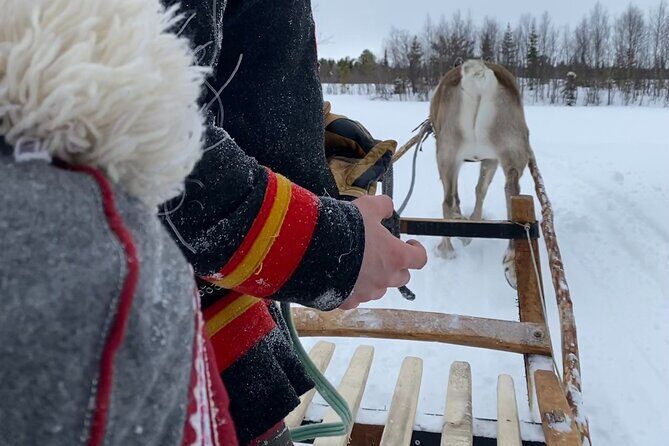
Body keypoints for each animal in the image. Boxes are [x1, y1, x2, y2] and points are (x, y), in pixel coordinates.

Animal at [429, 59, 532, 288]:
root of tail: (479, 76)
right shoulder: (490, 159)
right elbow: (480, 190)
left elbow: (462, 195)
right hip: (511, 150)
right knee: (511, 190)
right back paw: (512, 259)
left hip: (446, 155)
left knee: (447, 201)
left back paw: (446, 249)